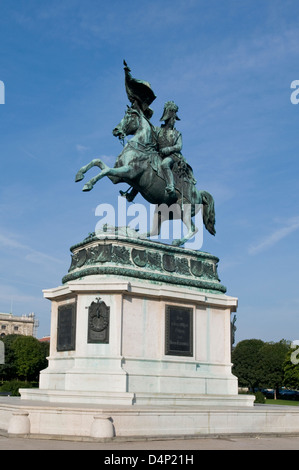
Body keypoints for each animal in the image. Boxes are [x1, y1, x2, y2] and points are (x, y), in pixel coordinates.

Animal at [75, 106, 216, 246]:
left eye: (129, 117)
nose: (115, 130)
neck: (138, 148)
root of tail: (198, 194)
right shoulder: (117, 177)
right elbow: (98, 162)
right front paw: (80, 174)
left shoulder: (128, 171)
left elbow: (105, 170)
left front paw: (88, 184)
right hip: (162, 211)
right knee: (155, 230)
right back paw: (136, 235)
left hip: (183, 210)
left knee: (193, 229)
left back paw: (177, 241)